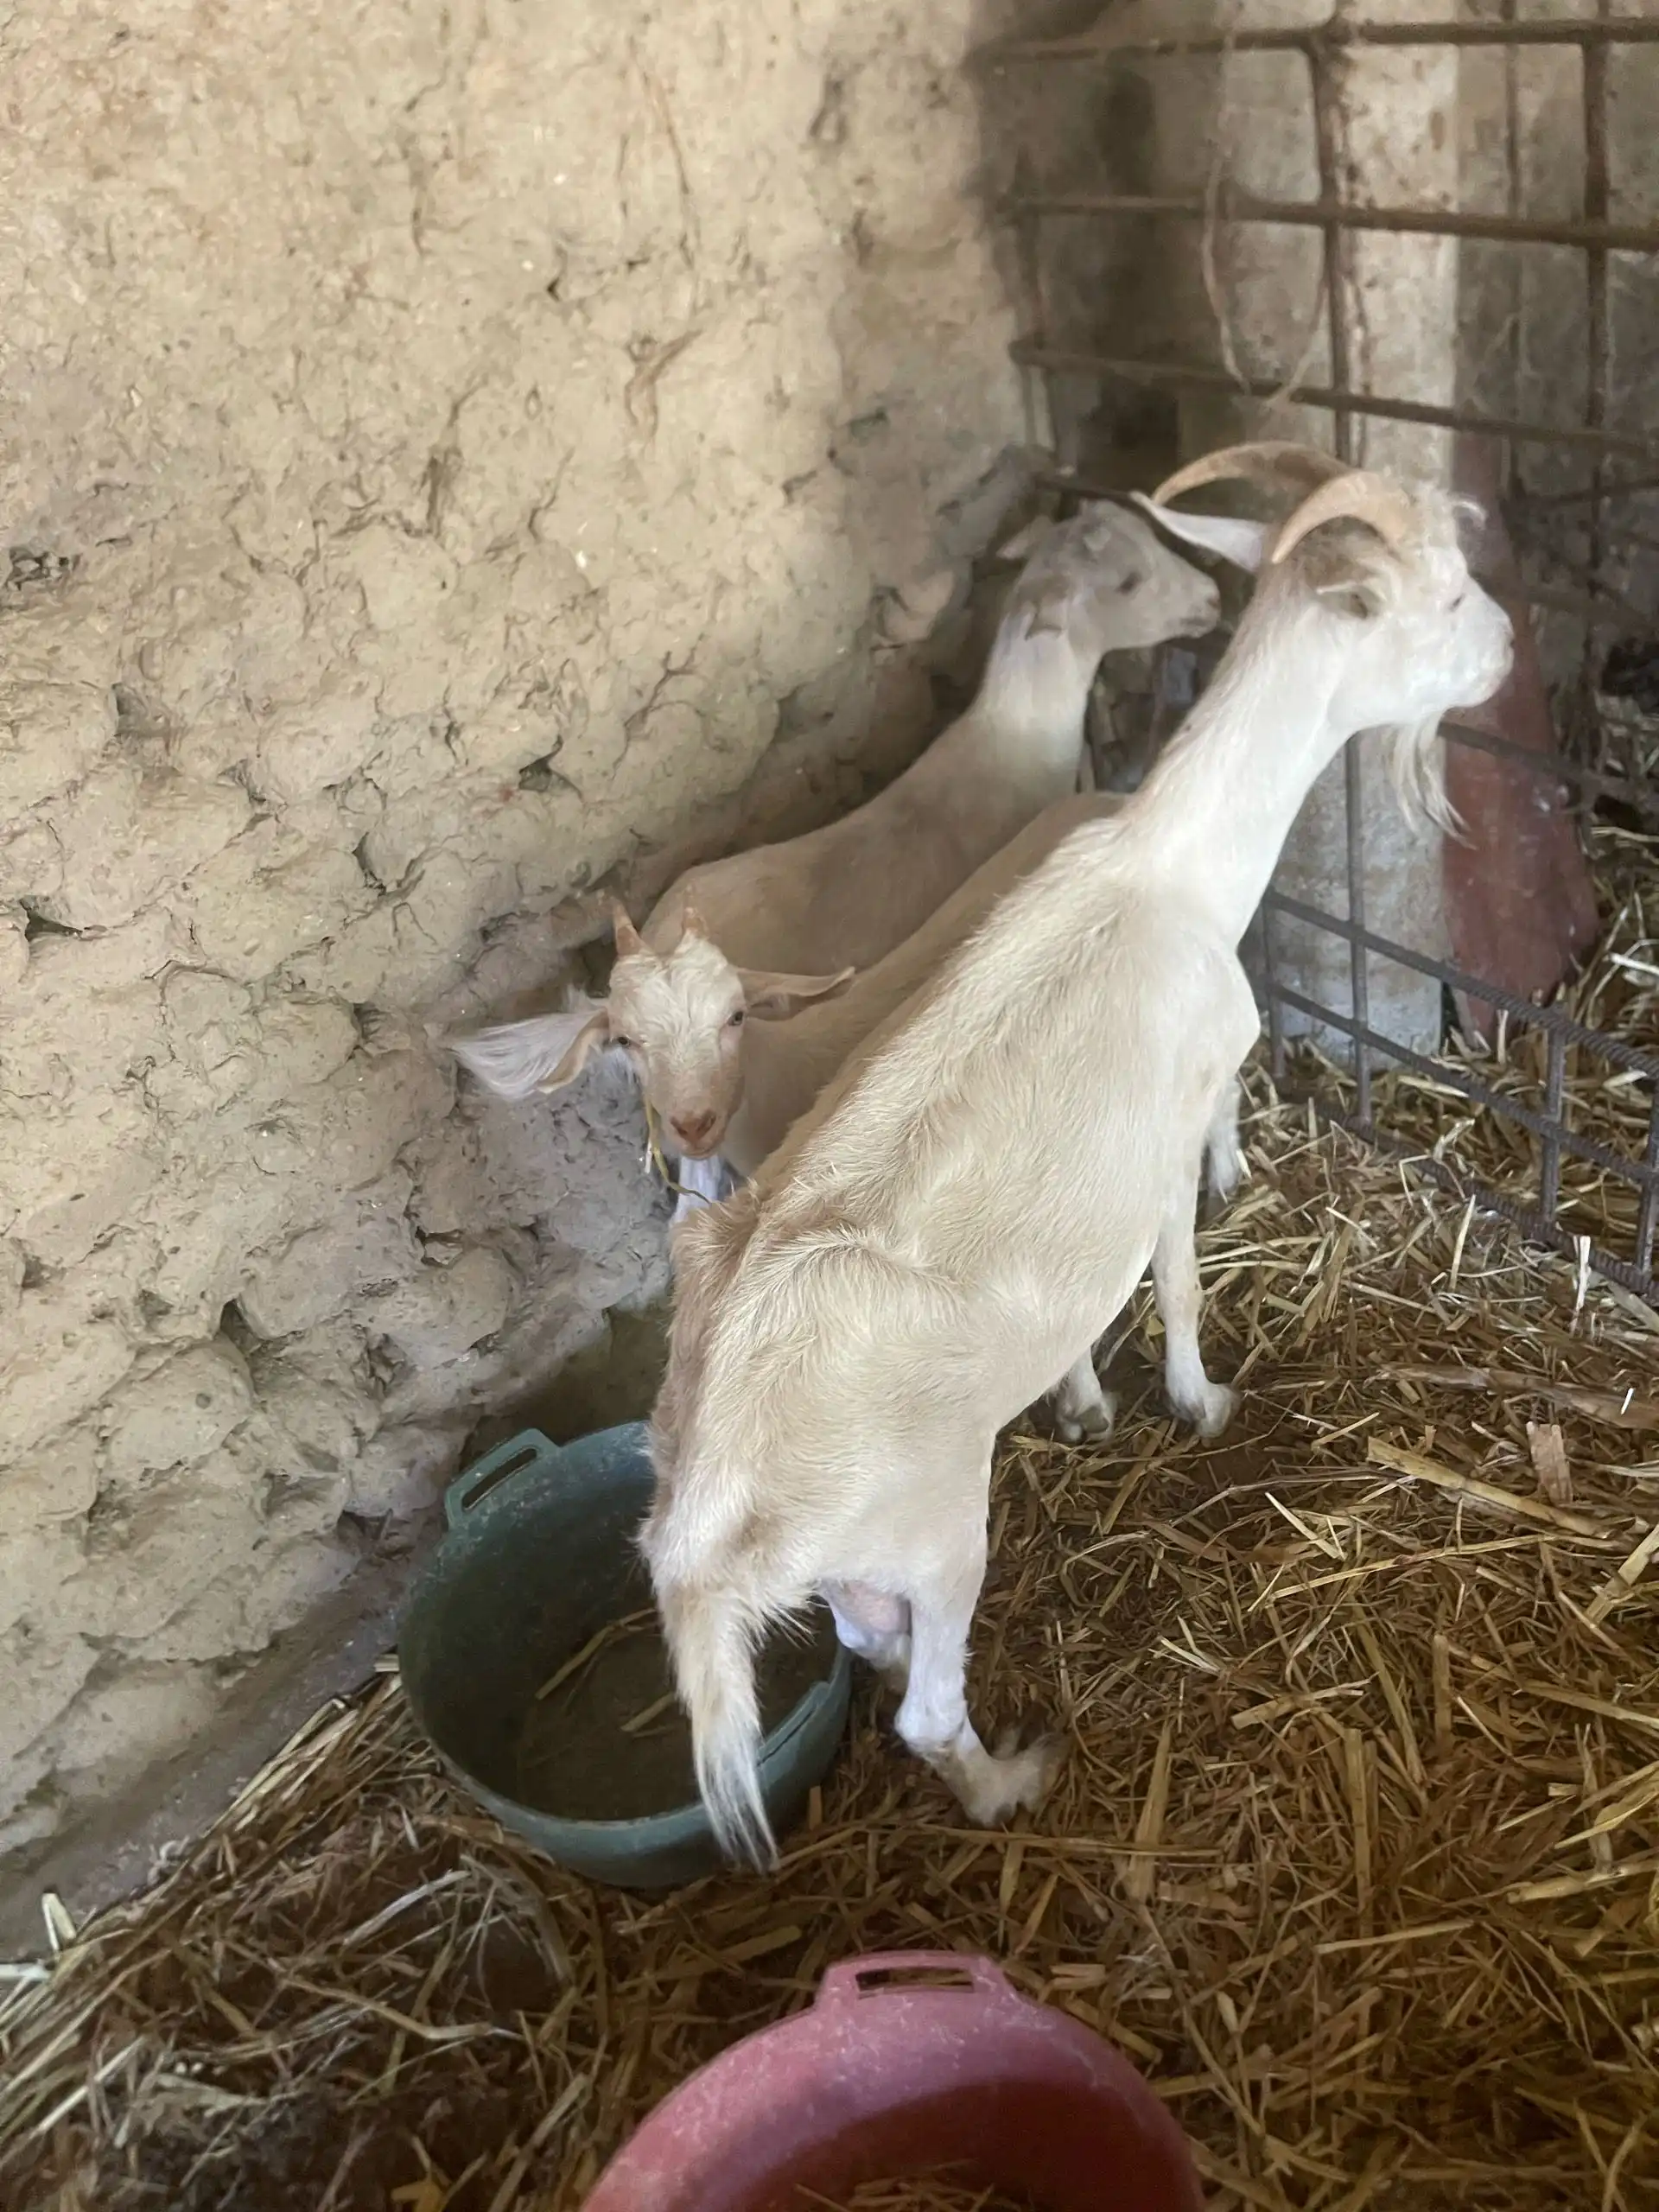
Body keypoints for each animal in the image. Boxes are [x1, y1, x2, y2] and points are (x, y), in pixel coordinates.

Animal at [640, 445, 1515, 1864]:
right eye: (1441, 597)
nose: (1504, 650)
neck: (1171, 865)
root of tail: (702, 1532)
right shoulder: (1166, 1129)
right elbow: (1180, 1283)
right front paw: (1201, 1402)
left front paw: (1087, 1403)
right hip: (933, 1529)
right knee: (925, 1711)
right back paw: (1012, 1780)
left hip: (853, 1567)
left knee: (870, 1648)